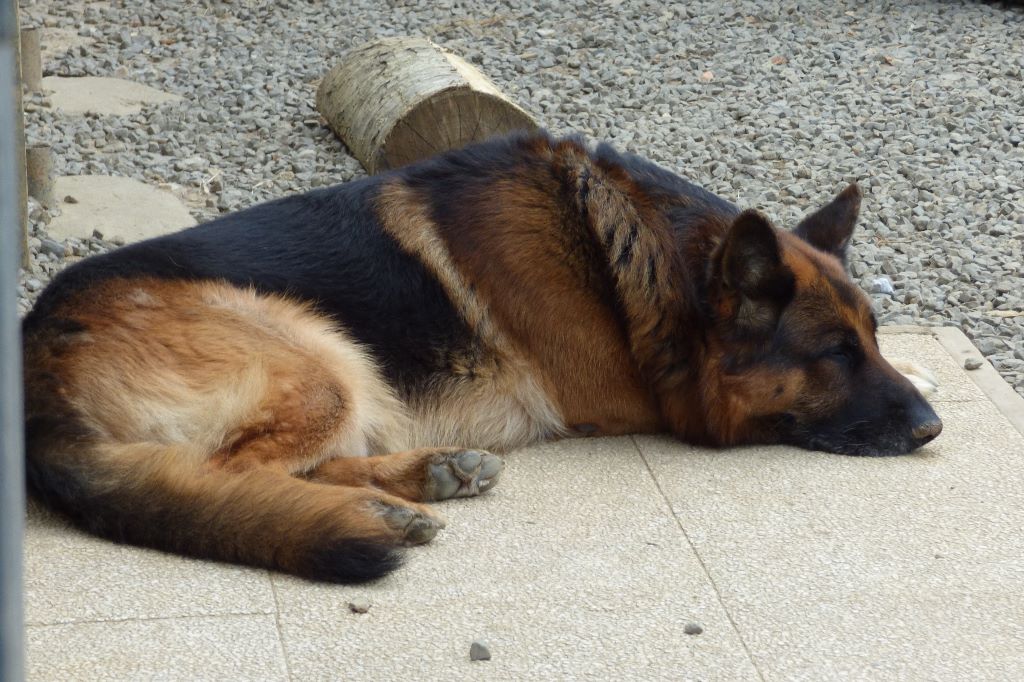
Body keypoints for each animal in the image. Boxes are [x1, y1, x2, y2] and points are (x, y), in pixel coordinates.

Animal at [19, 131, 937, 577]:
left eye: (872, 339)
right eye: (833, 353)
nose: (932, 429)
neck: (642, 261)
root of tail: (33, 369)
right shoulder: (645, 401)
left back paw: (423, 481)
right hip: (316, 353)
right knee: (236, 474)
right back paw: (377, 509)